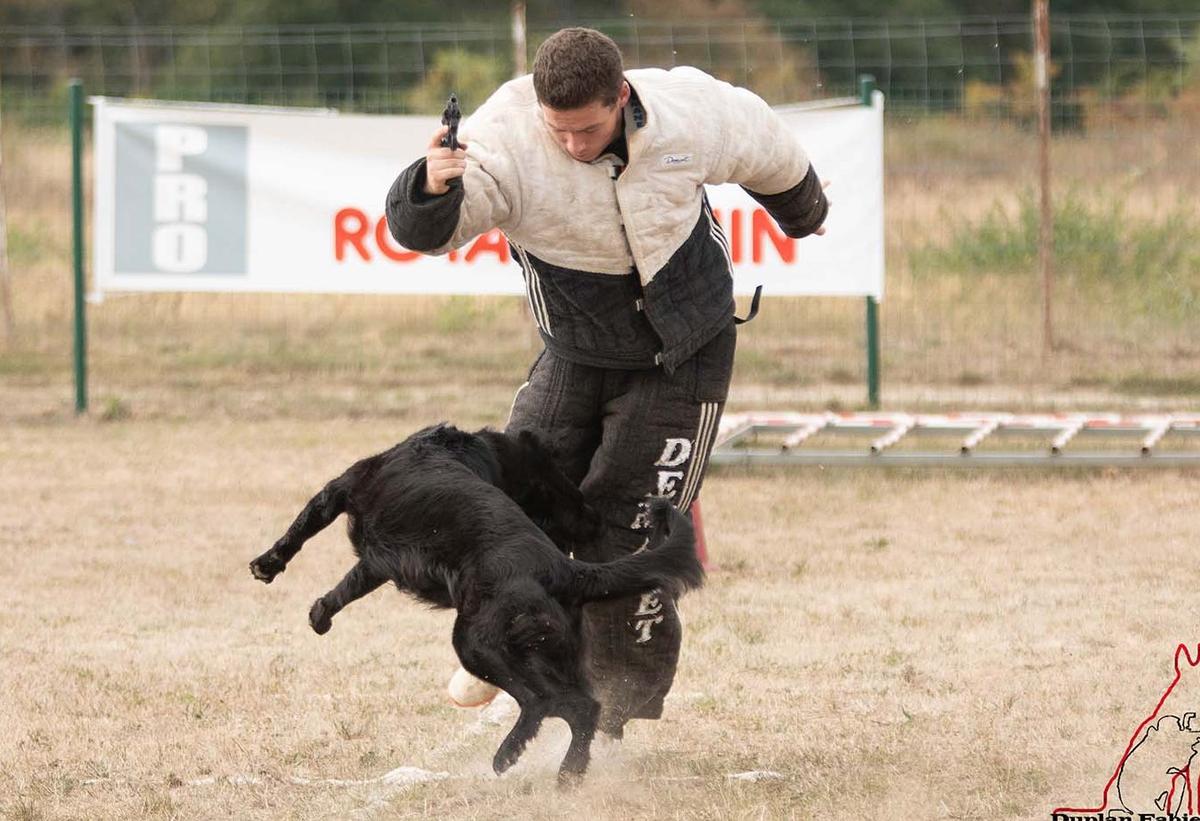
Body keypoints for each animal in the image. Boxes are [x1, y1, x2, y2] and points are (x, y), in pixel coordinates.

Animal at [252, 427, 700, 777]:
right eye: (562, 487)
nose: (596, 520)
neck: (468, 450)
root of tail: (564, 569)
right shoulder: (379, 561)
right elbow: (349, 584)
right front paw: (319, 612)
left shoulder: (341, 491)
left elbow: (301, 532)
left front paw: (271, 568)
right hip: (554, 654)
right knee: (585, 707)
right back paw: (569, 772)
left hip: (477, 643)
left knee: (545, 701)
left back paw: (509, 755)